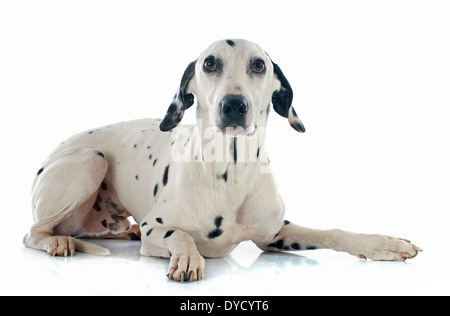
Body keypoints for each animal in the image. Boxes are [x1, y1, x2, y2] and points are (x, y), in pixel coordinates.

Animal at [22, 39, 420, 282]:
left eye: (258, 65)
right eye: (210, 63)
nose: (233, 105)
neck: (233, 172)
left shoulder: (275, 234)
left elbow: (331, 232)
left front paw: (382, 244)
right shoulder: (155, 229)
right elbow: (181, 235)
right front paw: (188, 257)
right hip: (91, 160)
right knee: (33, 233)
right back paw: (58, 242)